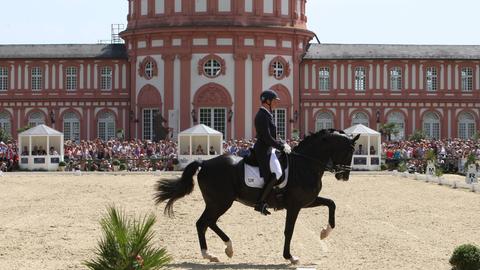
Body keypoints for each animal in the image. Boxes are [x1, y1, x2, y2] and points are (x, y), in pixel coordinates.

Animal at [155, 130, 360, 264]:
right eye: (350, 150)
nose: (344, 176)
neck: (305, 165)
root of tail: (204, 163)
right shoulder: (294, 206)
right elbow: (289, 230)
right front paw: (290, 257)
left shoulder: (307, 201)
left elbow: (331, 204)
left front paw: (325, 232)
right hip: (220, 202)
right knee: (203, 223)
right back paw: (214, 253)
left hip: (218, 202)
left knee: (207, 223)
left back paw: (222, 251)